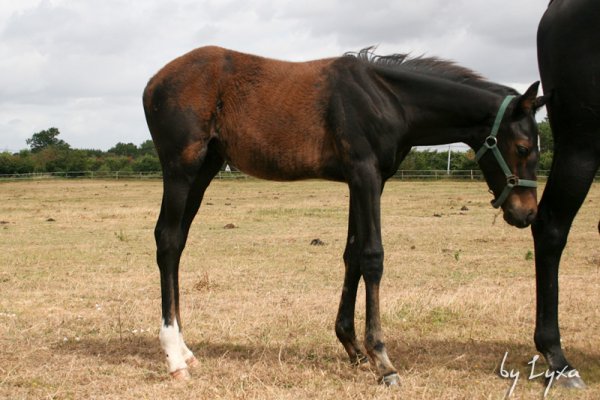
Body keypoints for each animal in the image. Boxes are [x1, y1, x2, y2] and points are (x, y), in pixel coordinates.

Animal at [144, 45, 544, 382]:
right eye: (524, 147)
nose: (526, 214)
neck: (389, 98)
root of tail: (152, 83)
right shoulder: (365, 173)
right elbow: (372, 256)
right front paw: (382, 359)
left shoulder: (366, 180)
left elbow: (352, 254)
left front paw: (353, 347)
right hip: (182, 168)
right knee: (167, 240)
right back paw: (174, 358)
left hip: (206, 168)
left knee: (178, 243)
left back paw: (186, 350)